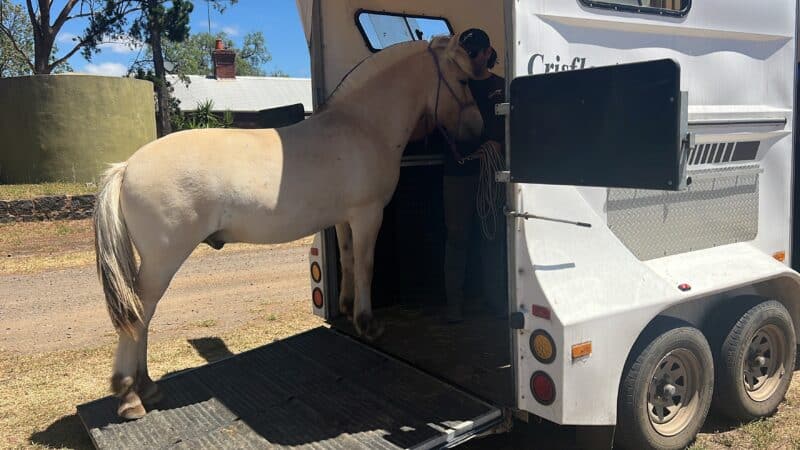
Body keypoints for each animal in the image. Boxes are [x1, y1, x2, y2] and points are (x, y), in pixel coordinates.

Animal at [93, 33, 484, 420]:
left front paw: (346, 309)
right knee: (140, 312)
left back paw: (146, 386)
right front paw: (367, 324)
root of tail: (126, 167)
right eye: (465, 81)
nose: (477, 129)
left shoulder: (344, 218)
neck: (362, 126)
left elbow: (348, 260)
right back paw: (130, 395)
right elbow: (366, 266)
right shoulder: (368, 214)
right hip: (163, 260)